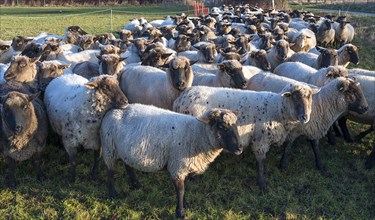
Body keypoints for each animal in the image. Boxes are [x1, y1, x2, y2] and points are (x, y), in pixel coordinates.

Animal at [100, 104, 242, 218]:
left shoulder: (185, 167)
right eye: (221, 126)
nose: (240, 148)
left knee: (128, 165)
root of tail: (113, 110)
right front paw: (180, 213)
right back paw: (113, 194)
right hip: (109, 149)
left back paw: (136, 184)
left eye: (236, 125)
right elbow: (180, 190)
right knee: (110, 172)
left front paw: (185, 204)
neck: (197, 134)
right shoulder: (177, 167)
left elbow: (185, 187)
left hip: (124, 150)